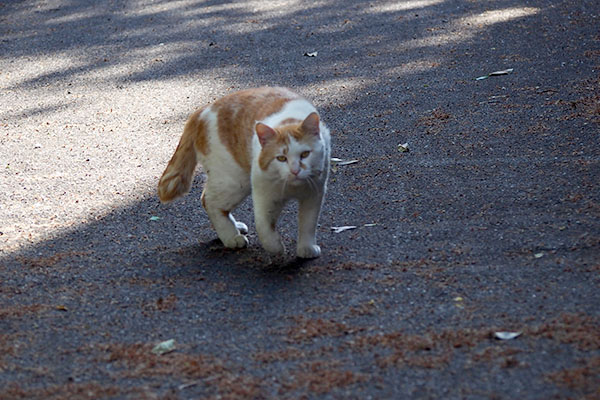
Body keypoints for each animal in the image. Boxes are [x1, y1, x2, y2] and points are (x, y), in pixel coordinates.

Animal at [157, 86, 330, 258]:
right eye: (281, 158)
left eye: (305, 154)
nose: (295, 170)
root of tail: (201, 111)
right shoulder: (265, 195)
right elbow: (264, 226)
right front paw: (275, 247)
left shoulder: (314, 194)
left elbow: (308, 224)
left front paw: (306, 248)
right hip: (235, 182)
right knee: (209, 201)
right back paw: (231, 237)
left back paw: (235, 227)